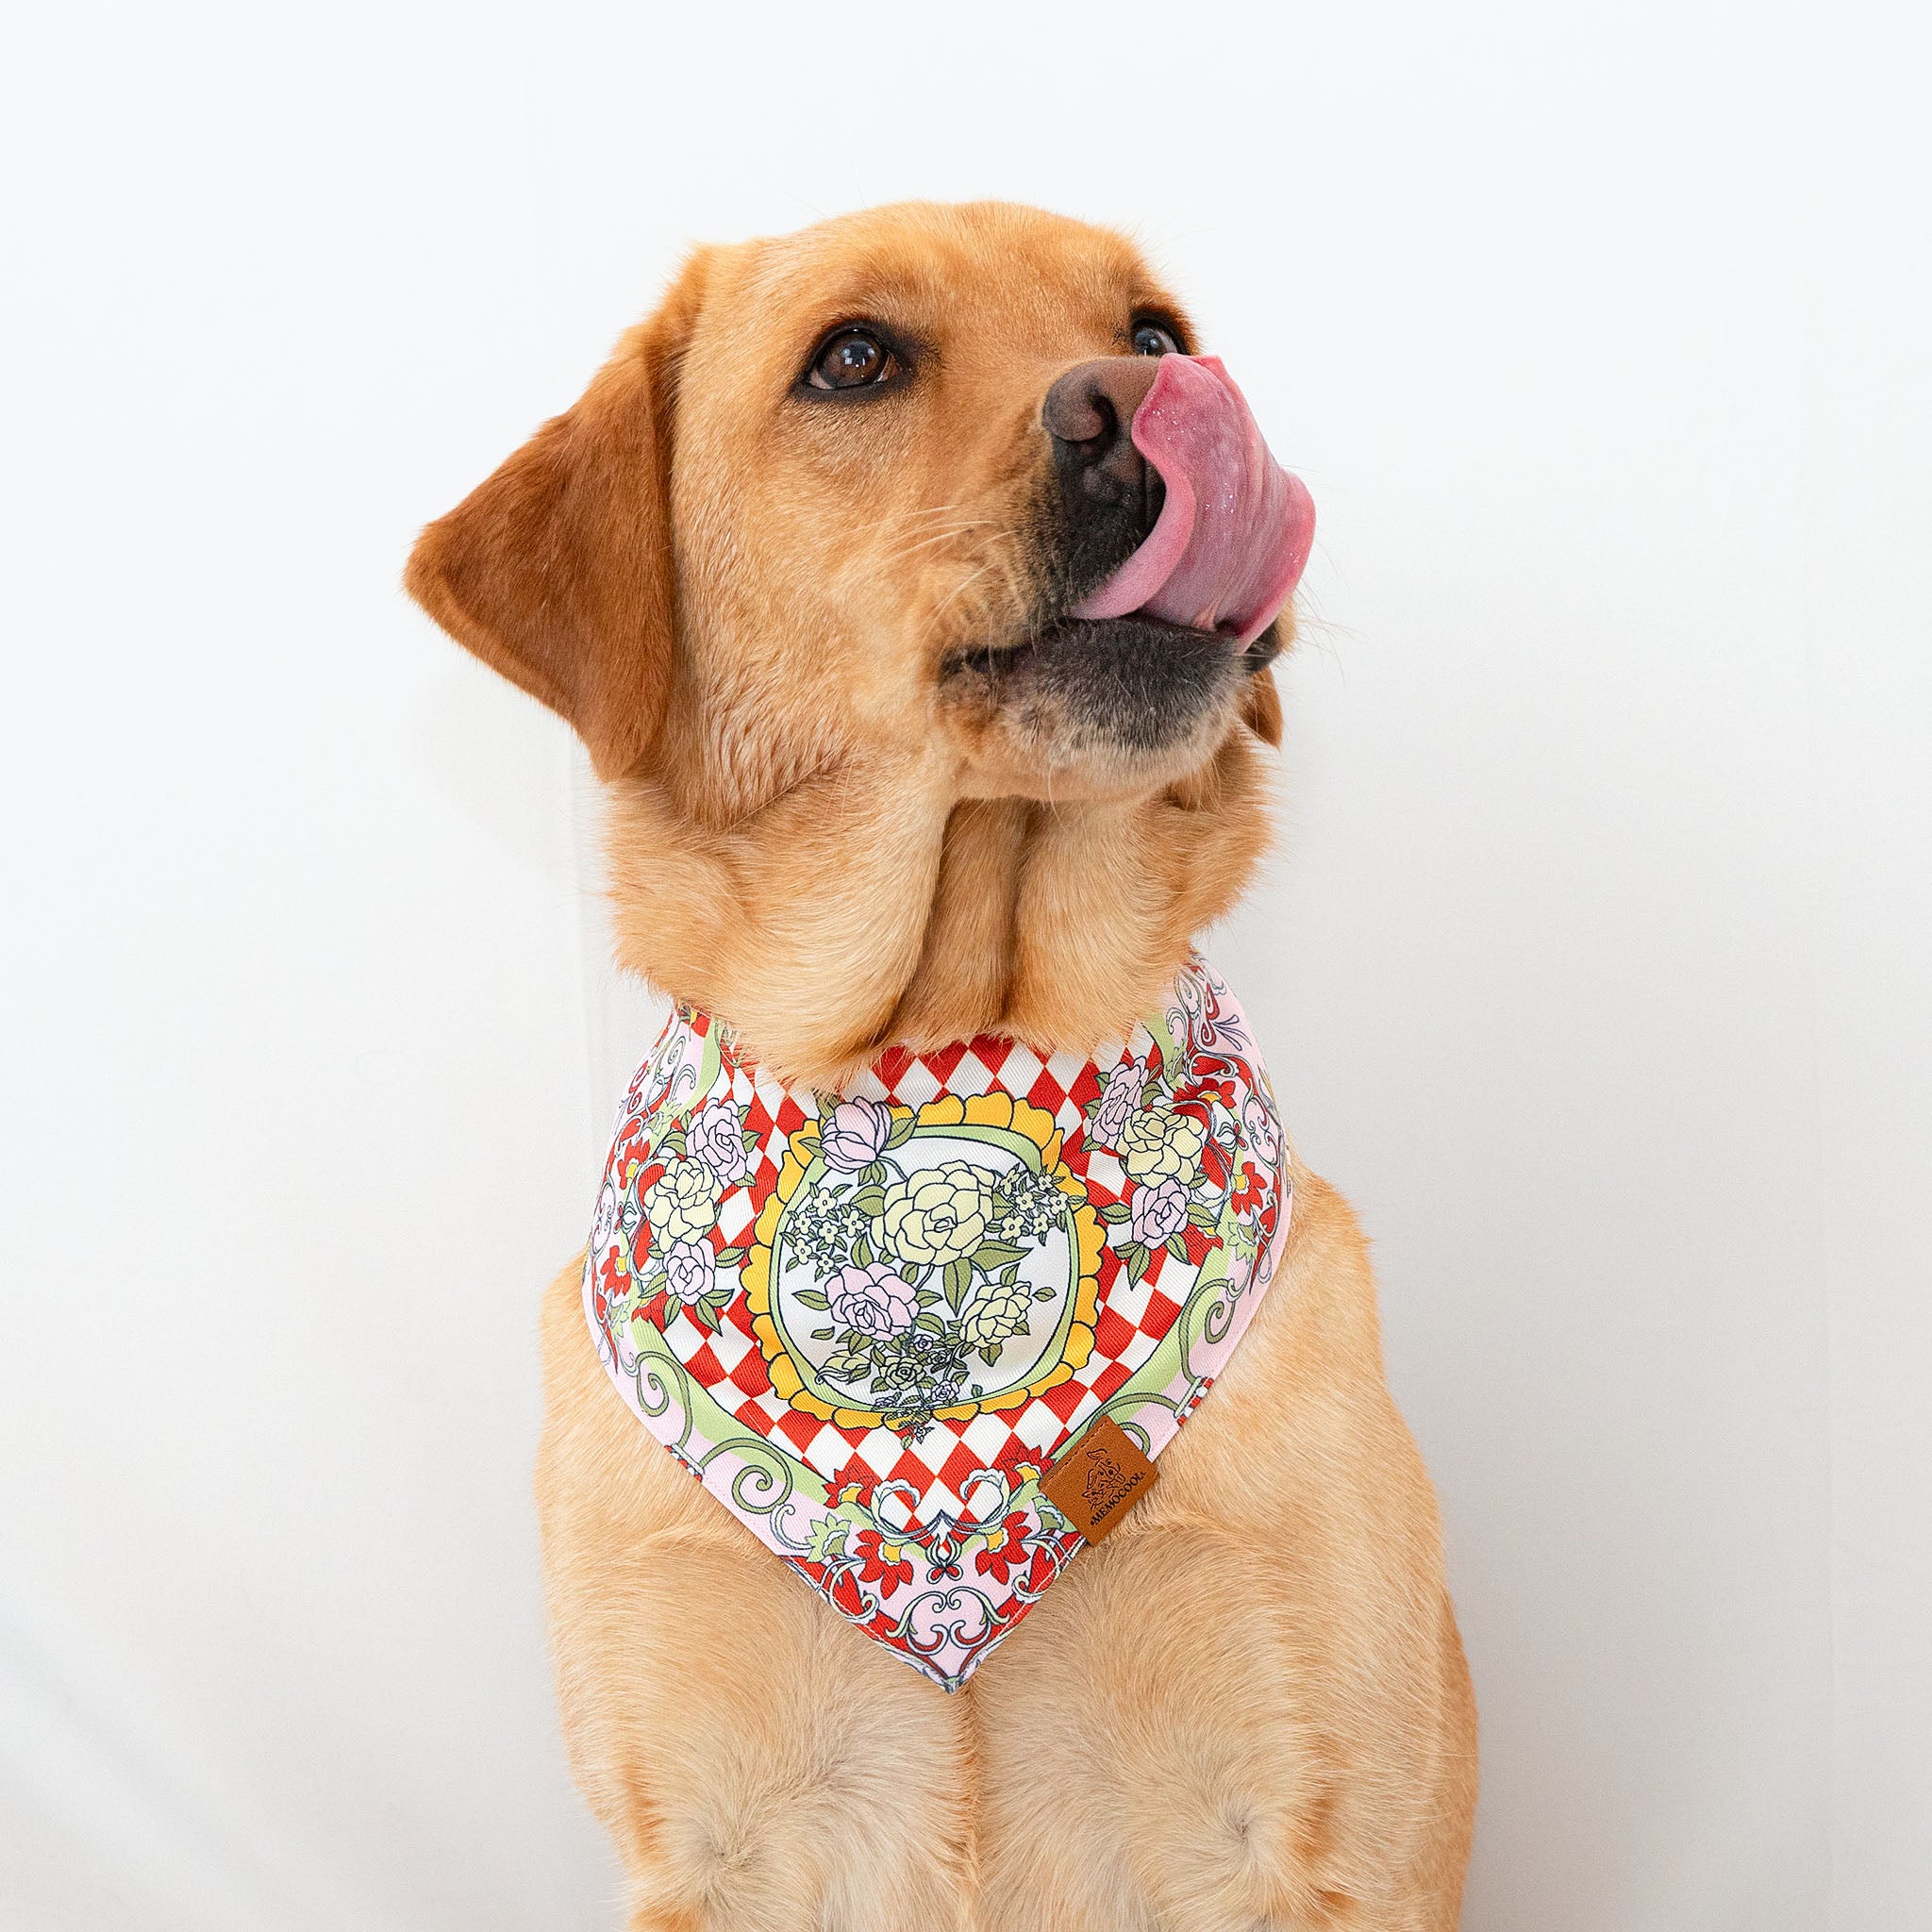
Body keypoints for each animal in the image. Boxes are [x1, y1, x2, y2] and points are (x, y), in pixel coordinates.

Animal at [411, 199, 1475, 1932]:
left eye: (1154, 329)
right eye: (853, 357)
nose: (1149, 398)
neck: (945, 1056)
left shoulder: (1340, 1830)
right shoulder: (705, 1841)